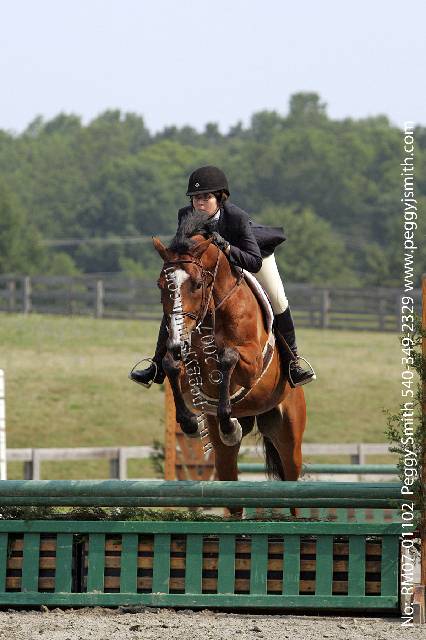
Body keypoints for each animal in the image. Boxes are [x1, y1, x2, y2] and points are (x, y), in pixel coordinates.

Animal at [153, 212, 306, 507]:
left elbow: (227, 357)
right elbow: (170, 366)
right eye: (161, 286)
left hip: (289, 435)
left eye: (196, 285)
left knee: (292, 478)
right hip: (227, 454)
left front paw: (227, 422)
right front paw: (190, 423)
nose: (176, 343)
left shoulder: (251, 365)